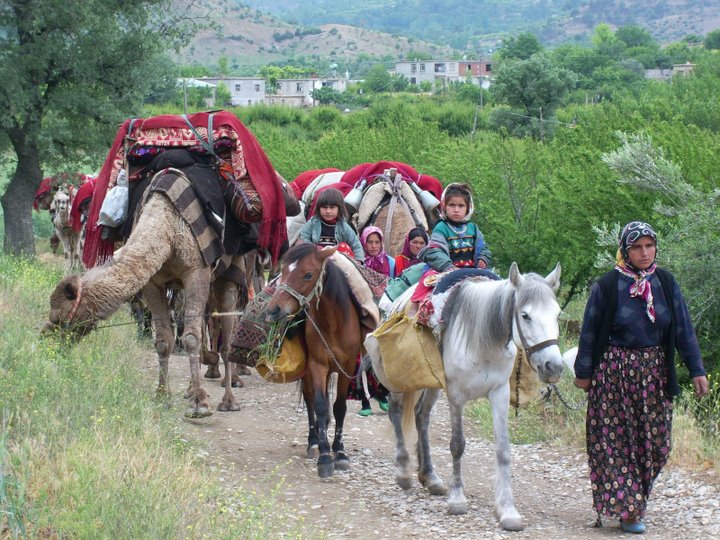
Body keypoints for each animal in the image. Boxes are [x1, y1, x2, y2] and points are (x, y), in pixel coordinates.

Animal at [45, 193, 242, 418]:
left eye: (58, 319)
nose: (46, 340)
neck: (167, 228)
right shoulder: (152, 282)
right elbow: (164, 340)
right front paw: (163, 395)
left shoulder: (197, 270)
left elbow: (191, 337)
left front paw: (199, 404)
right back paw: (193, 386)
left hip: (231, 271)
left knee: (227, 333)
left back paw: (229, 399)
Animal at [264, 244, 362, 476]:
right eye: (283, 271)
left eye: (308, 274)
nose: (274, 309)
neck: (334, 322)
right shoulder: (317, 365)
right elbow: (319, 405)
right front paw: (325, 457)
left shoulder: (347, 365)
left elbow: (339, 406)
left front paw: (340, 452)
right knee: (310, 399)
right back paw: (314, 441)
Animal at [368, 264, 564, 528]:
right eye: (525, 315)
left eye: (557, 315)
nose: (554, 367)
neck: (482, 339)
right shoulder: (457, 396)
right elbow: (457, 445)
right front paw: (457, 500)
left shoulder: (499, 393)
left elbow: (503, 449)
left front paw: (507, 510)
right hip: (402, 380)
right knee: (397, 413)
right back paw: (403, 472)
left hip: (433, 383)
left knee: (421, 417)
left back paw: (430, 477)